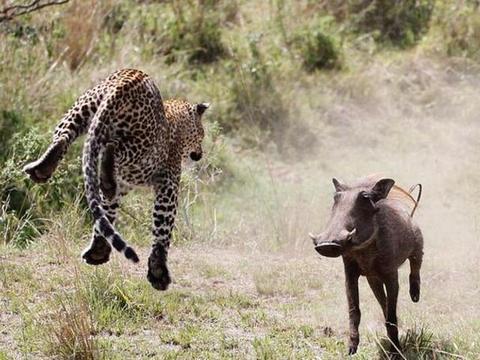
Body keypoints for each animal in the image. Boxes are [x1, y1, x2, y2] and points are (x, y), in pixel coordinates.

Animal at [22, 69, 209, 292]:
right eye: (202, 134)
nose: (200, 153)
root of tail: (126, 81)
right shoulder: (168, 183)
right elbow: (163, 227)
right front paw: (158, 272)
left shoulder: (125, 186)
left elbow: (107, 212)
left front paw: (98, 250)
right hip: (141, 146)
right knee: (111, 147)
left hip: (82, 109)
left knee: (63, 137)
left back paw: (42, 168)